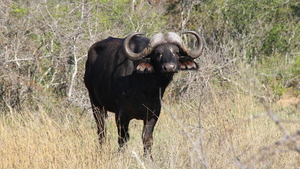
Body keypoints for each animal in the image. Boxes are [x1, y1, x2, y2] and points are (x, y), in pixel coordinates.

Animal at [83, 30, 203, 158]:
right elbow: (123, 138)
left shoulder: (153, 115)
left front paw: (149, 158)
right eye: (157, 53)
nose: (169, 67)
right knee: (101, 130)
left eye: (176, 52)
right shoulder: (121, 115)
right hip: (95, 104)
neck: (146, 89)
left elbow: (147, 138)